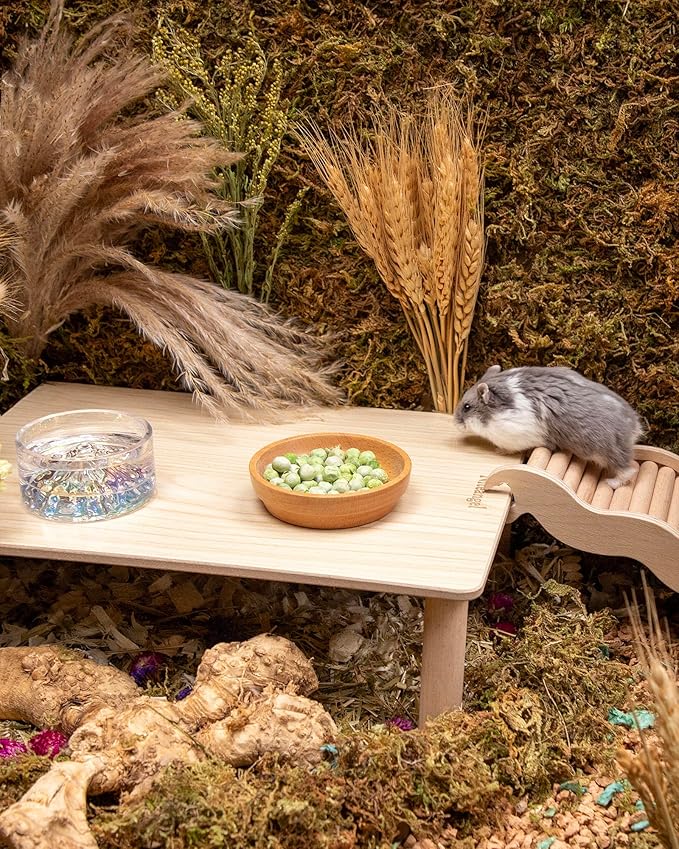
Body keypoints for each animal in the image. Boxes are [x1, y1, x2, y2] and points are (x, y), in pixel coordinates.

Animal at [453, 365, 643, 489]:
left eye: (467, 407)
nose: (455, 423)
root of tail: (634, 426)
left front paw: (499, 451)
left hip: (606, 451)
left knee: (630, 469)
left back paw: (610, 483)